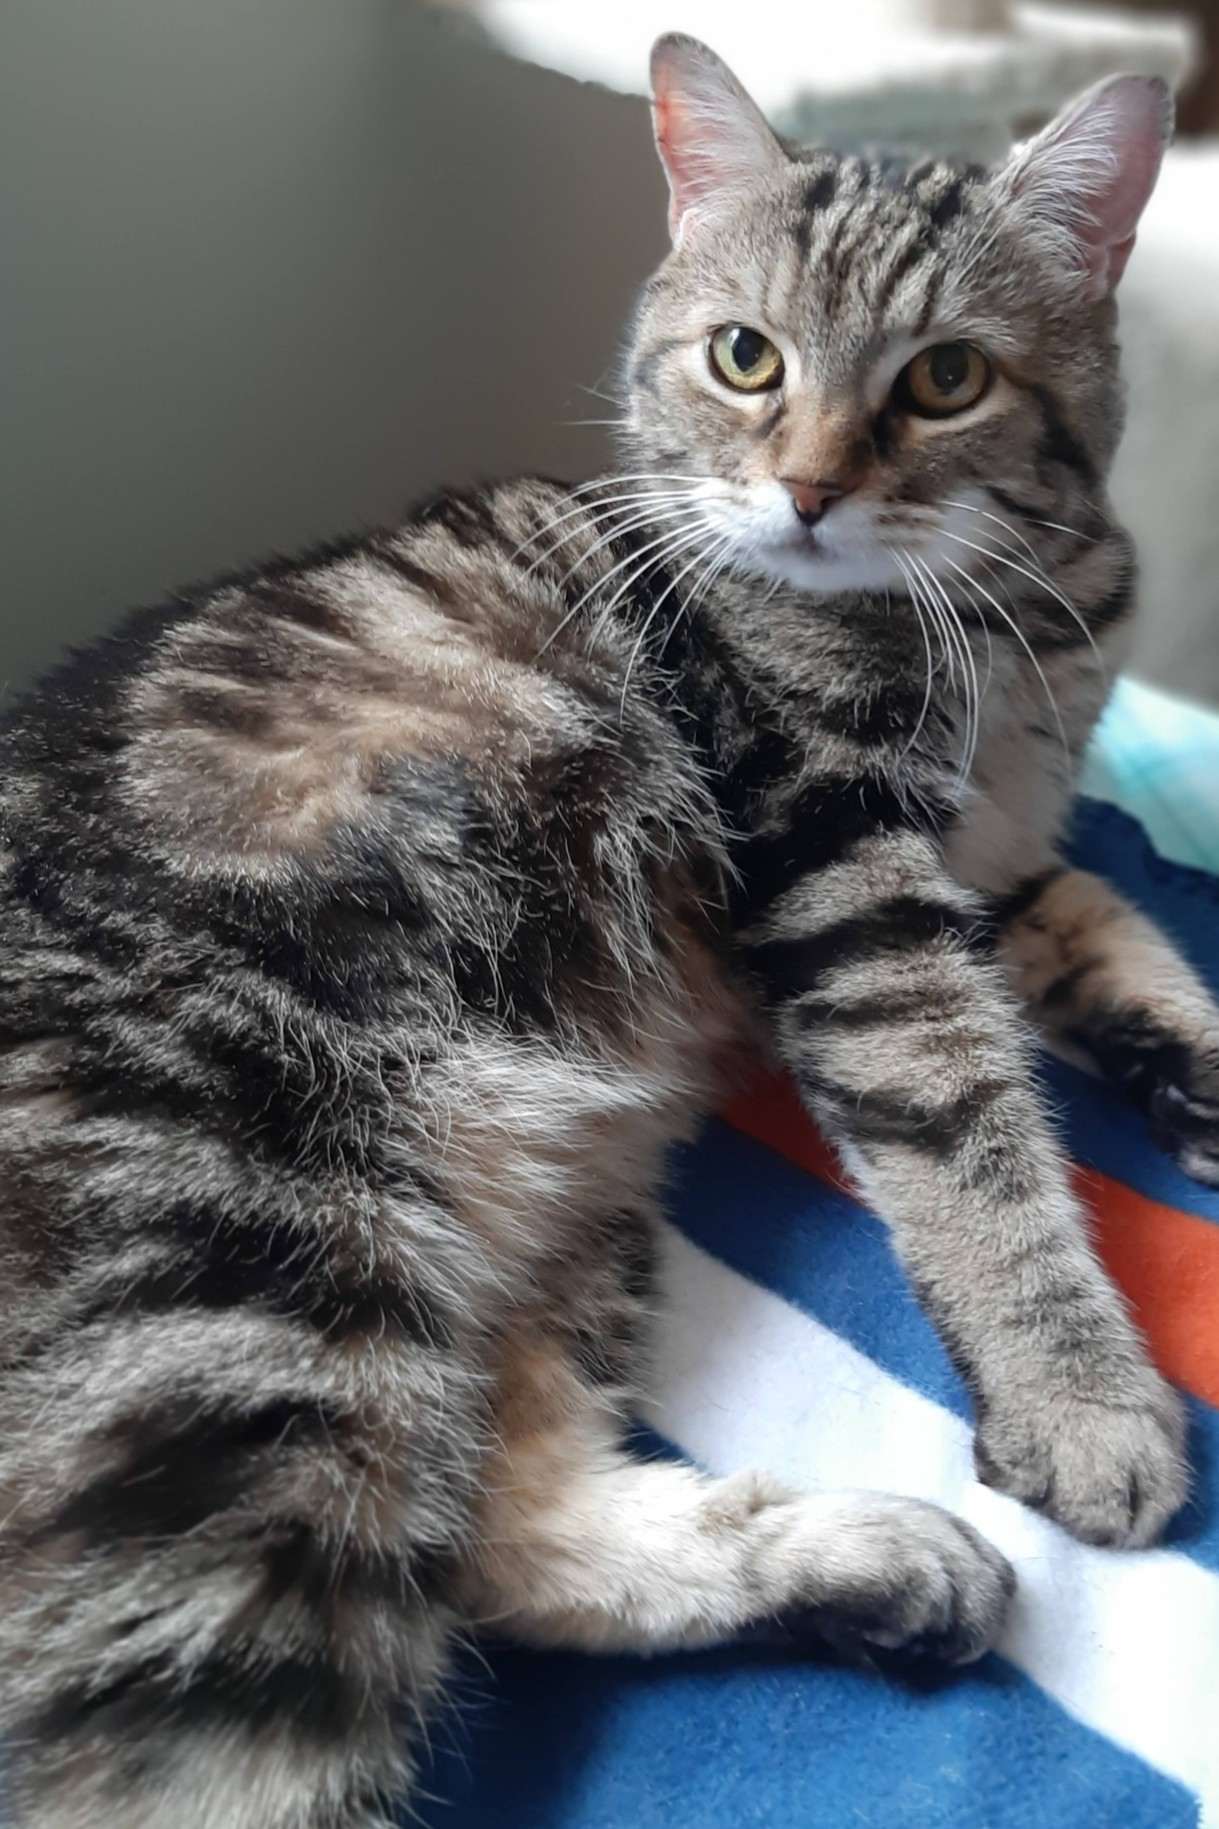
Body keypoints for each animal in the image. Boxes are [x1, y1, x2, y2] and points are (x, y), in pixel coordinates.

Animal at [1, 28, 1216, 1829]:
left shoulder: (995, 863)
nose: (804, 490)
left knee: (492, 1536)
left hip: (527, 1232)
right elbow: (967, 1134)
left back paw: (872, 1564)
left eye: (942, 379)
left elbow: (1111, 918)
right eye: (743, 358)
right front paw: (1076, 1397)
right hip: (236, 1306)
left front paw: (1185, 1062)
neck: (1006, 628)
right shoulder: (847, 872)